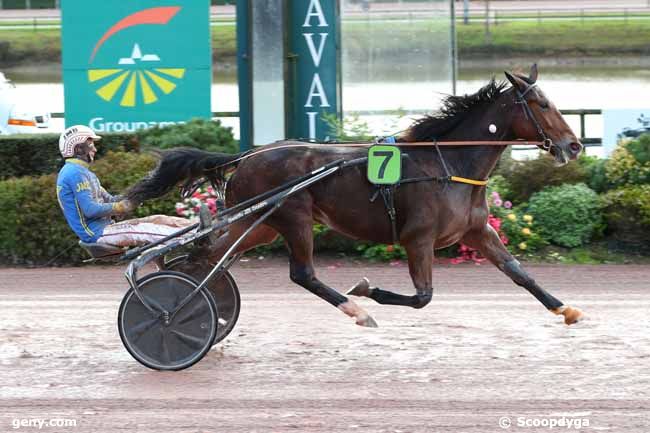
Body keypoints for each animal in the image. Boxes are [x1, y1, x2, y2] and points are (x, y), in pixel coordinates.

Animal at [126, 64, 584, 328]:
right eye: (542, 105)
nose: (574, 145)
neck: (447, 163)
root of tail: (249, 154)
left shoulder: (476, 231)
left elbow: (519, 273)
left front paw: (565, 309)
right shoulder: (417, 239)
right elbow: (422, 297)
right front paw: (368, 290)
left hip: (260, 223)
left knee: (207, 257)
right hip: (293, 217)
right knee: (301, 273)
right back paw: (356, 310)